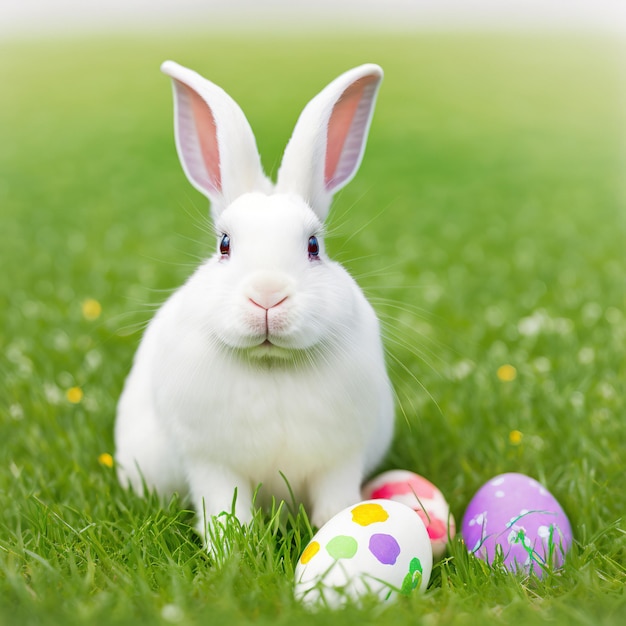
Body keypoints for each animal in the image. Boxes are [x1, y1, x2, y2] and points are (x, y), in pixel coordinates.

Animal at [113, 61, 390, 536]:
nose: (267, 295)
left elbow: (336, 503)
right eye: (224, 244)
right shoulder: (210, 463)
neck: (271, 364)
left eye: (314, 246)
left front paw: (337, 528)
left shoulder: (340, 461)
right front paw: (231, 545)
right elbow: (226, 511)